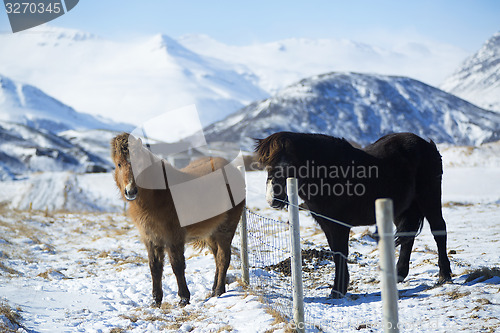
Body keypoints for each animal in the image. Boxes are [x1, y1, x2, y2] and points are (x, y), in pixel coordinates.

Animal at [111, 133, 244, 306]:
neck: (159, 195)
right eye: (119, 164)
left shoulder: (173, 238)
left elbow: (177, 265)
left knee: (223, 258)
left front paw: (184, 298)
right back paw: (214, 289)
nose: (131, 191)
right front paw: (156, 301)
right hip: (211, 232)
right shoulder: (151, 239)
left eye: (139, 163)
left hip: (225, 229)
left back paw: (218, 291)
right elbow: (155, 267)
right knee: (217, 257)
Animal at [256, 131, 452, 296]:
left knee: (438, 230)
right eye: (266, 166)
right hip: (402, 208)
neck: (328, 175)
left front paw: (337, 290)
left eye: (288, 165)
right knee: (408, 238)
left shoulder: (339, 225)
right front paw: (339, 288)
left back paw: (444, 275)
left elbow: (340, 253)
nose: (273, 199)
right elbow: (336, 253)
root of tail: (427, 144)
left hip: (429, 199)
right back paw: (398, 275)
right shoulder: (326, 225)